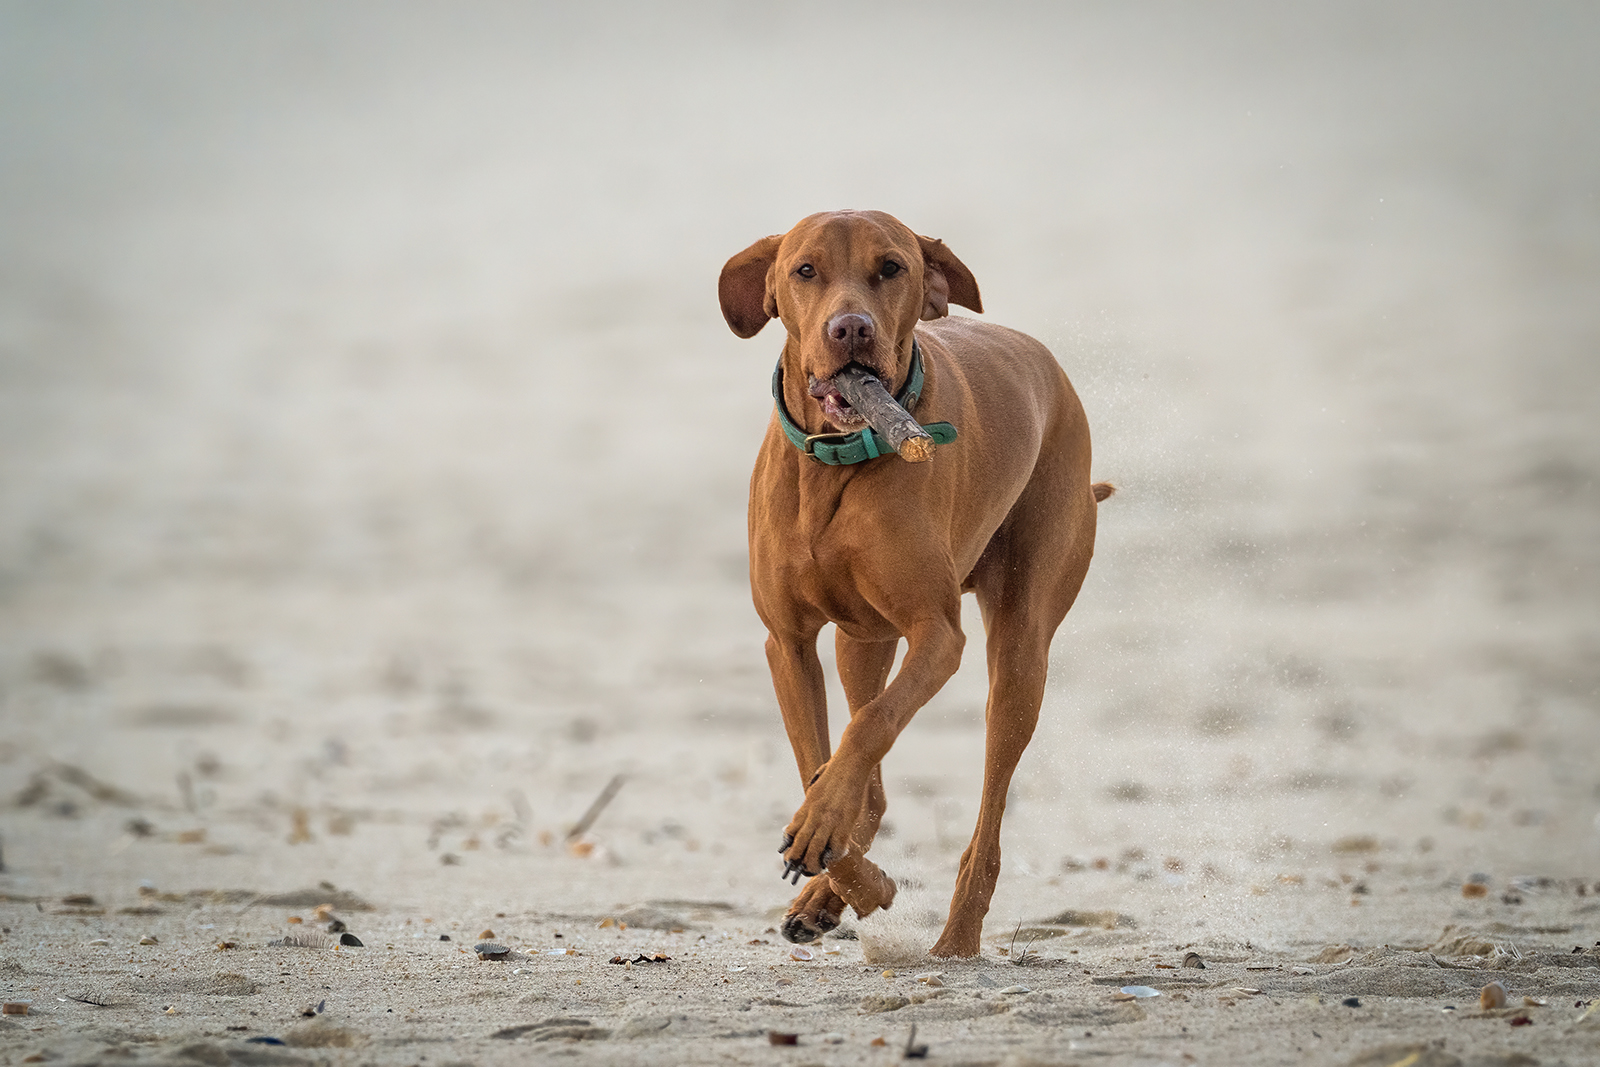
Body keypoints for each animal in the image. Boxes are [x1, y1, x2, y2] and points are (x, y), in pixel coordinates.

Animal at [720, 207, 1107, 959]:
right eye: (804, 270)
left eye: (891, 268)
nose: (851, 329)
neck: (838, 459)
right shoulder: (788, 642)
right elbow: (821, 762)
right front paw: (846, 874)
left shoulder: (938, 634)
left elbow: (871, 726)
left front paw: (842, 861)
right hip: (860, 641)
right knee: (869, 782)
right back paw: (825, 894)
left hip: (1021, 652)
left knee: (985, 818)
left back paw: (956, 940)